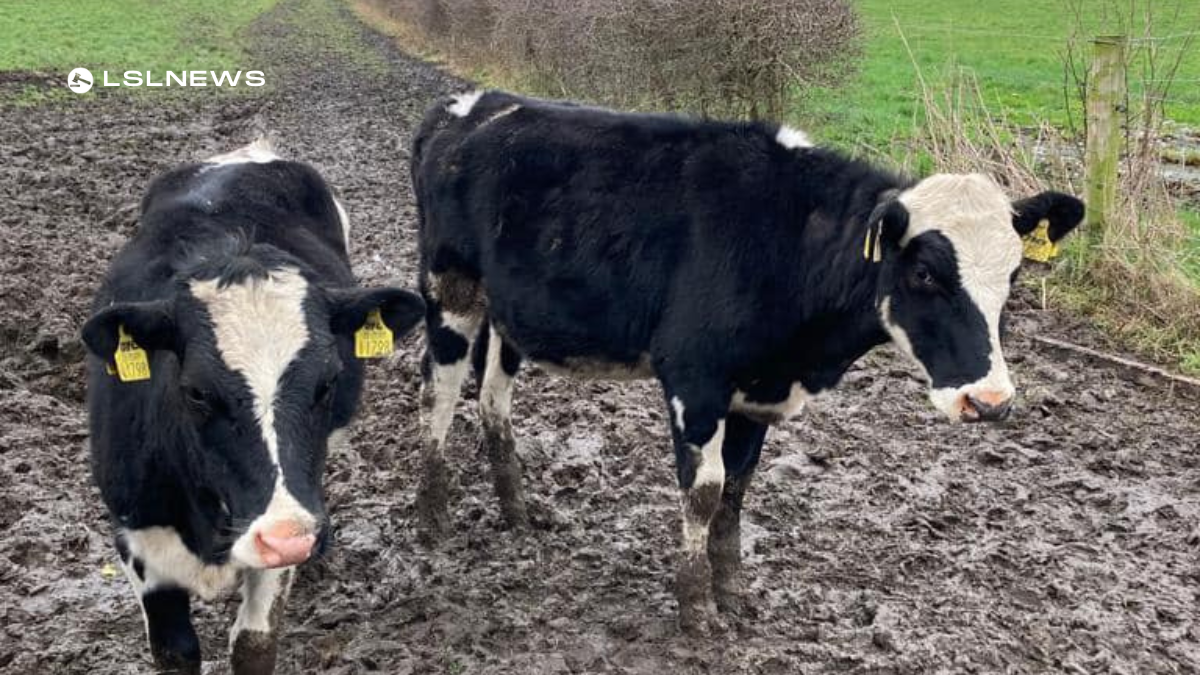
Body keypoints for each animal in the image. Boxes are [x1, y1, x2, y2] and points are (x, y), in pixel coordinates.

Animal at [81, 139, 427, 667]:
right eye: (196, 391)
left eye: (328, 381)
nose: (294, 536)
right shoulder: (136, 538)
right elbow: (177, 650)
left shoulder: (276, 548)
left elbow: (254, 645)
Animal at [408, 89, 1084, 629]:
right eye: (924, 273)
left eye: (1015, 275)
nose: (989, 400)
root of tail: (472, 105)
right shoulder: (695, 378)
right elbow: (703, 492)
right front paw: (696, 609)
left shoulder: (759, 391)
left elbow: (735, 492)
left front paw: (733, 593)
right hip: (450, 291)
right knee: (437, 396)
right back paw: (432, 520)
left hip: (508, 312)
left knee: (492, 398)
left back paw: (517, 513)